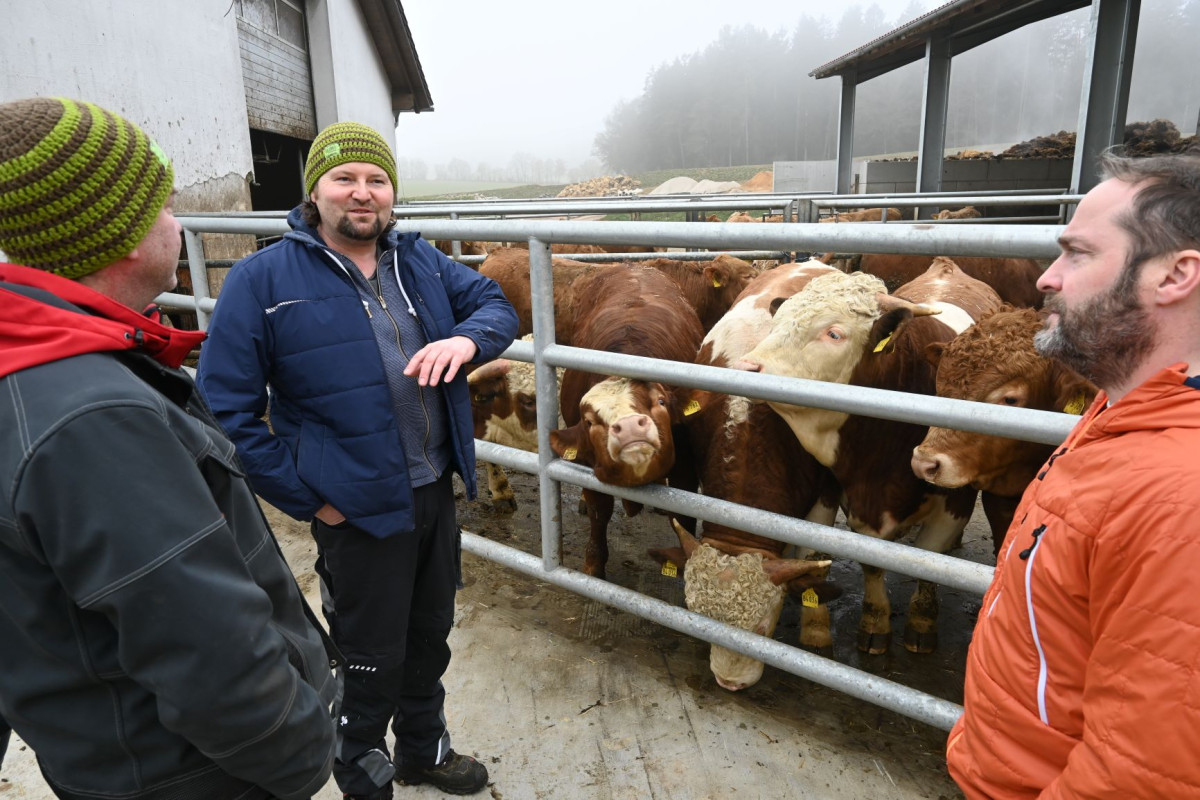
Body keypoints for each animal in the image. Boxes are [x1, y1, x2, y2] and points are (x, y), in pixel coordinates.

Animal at [549, 266, 705, 578]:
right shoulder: (588, 463)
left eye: (660, 401)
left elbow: (683, 519)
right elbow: (599, 510)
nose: (632, 427)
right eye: (589, 421)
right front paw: (594, 564)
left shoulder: (686, 468)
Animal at [648, 260, 844, 690]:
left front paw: (816, 626)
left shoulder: (827, 485)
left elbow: (811, 556)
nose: (729, 683)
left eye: (763, 628)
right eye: (701, 619)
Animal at [739, 260, 1003, 652]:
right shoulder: (840, 493)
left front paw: (921, 624)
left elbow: (929, 560)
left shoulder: (954, 497)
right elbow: (867, 560)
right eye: (777, 322)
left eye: (834, 334)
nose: (744, 367)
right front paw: (875, 621)